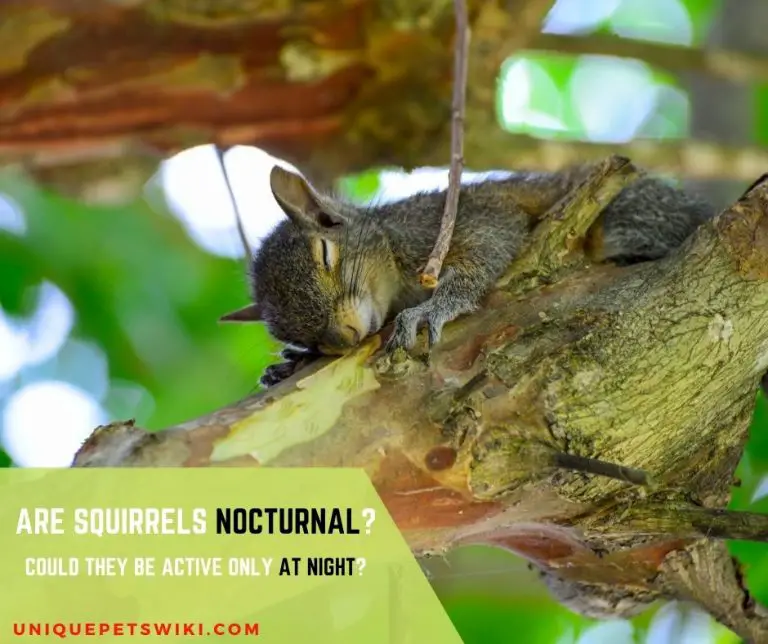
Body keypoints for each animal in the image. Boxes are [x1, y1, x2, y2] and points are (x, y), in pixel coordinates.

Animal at [220, 161, 715, 386]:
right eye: (294, 333)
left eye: (325, 253)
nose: (344, 338)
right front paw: (289, 364)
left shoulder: (456, 221)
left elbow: (484, 249)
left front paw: (434, 307)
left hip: (628, 213)